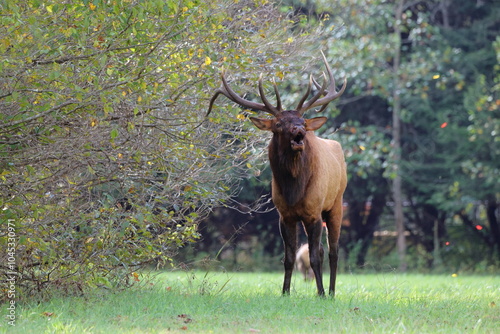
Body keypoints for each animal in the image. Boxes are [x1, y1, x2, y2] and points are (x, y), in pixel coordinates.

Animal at [208, 51, 348, 296]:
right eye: (279, 123)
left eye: (301, 121)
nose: (300, 131)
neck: (294, 190)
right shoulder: (285, 215)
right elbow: (289, 258)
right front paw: (285, 292)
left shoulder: (314, 211)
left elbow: (314, 256)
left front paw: (321, 293)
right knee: (322, 250)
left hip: (336, 203)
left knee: (332, 251)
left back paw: (331, 292)